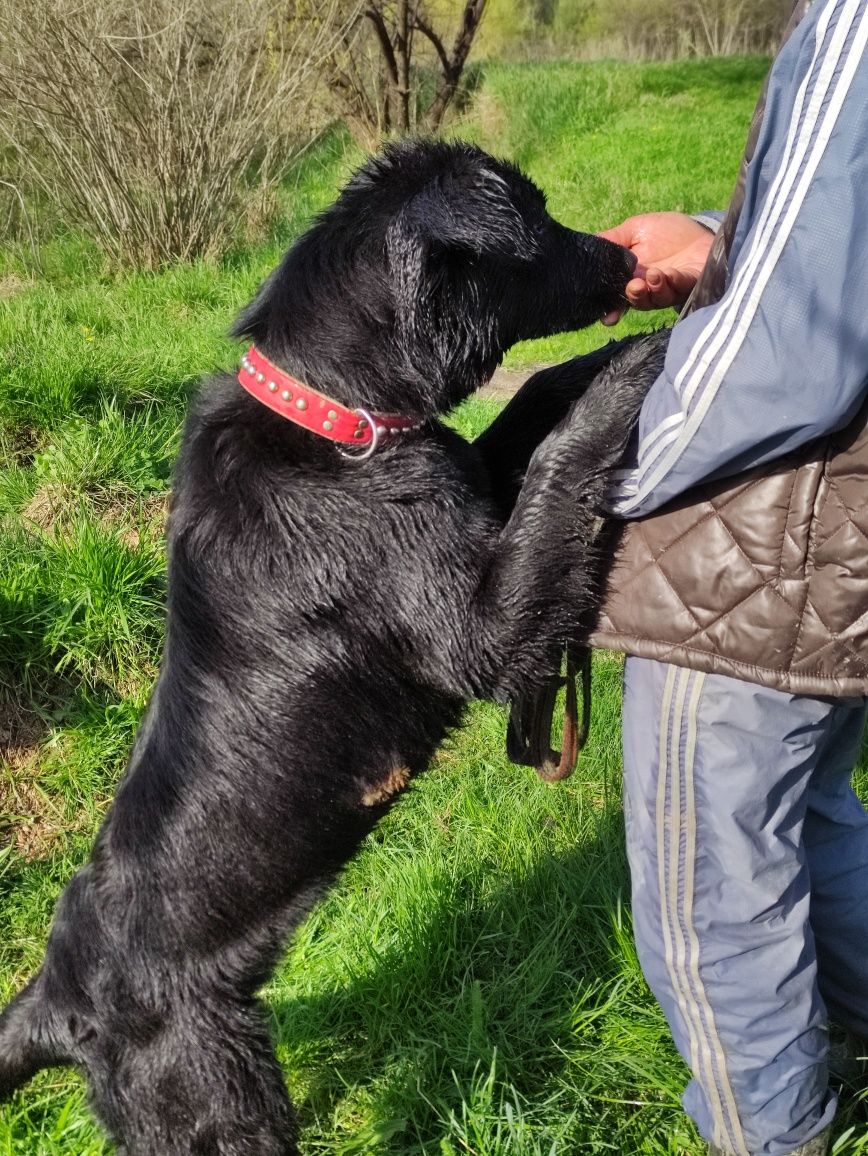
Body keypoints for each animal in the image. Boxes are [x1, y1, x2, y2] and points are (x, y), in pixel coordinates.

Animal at [0, 144, 665, 1156]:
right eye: (537, 221)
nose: (626, 259)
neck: (340, 419)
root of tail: (54, 1003)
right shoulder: (482, 632)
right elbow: (558, 467)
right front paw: (637, 364)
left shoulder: (473, 483)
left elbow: (533, 403)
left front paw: (609, 357)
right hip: (215, 1098)